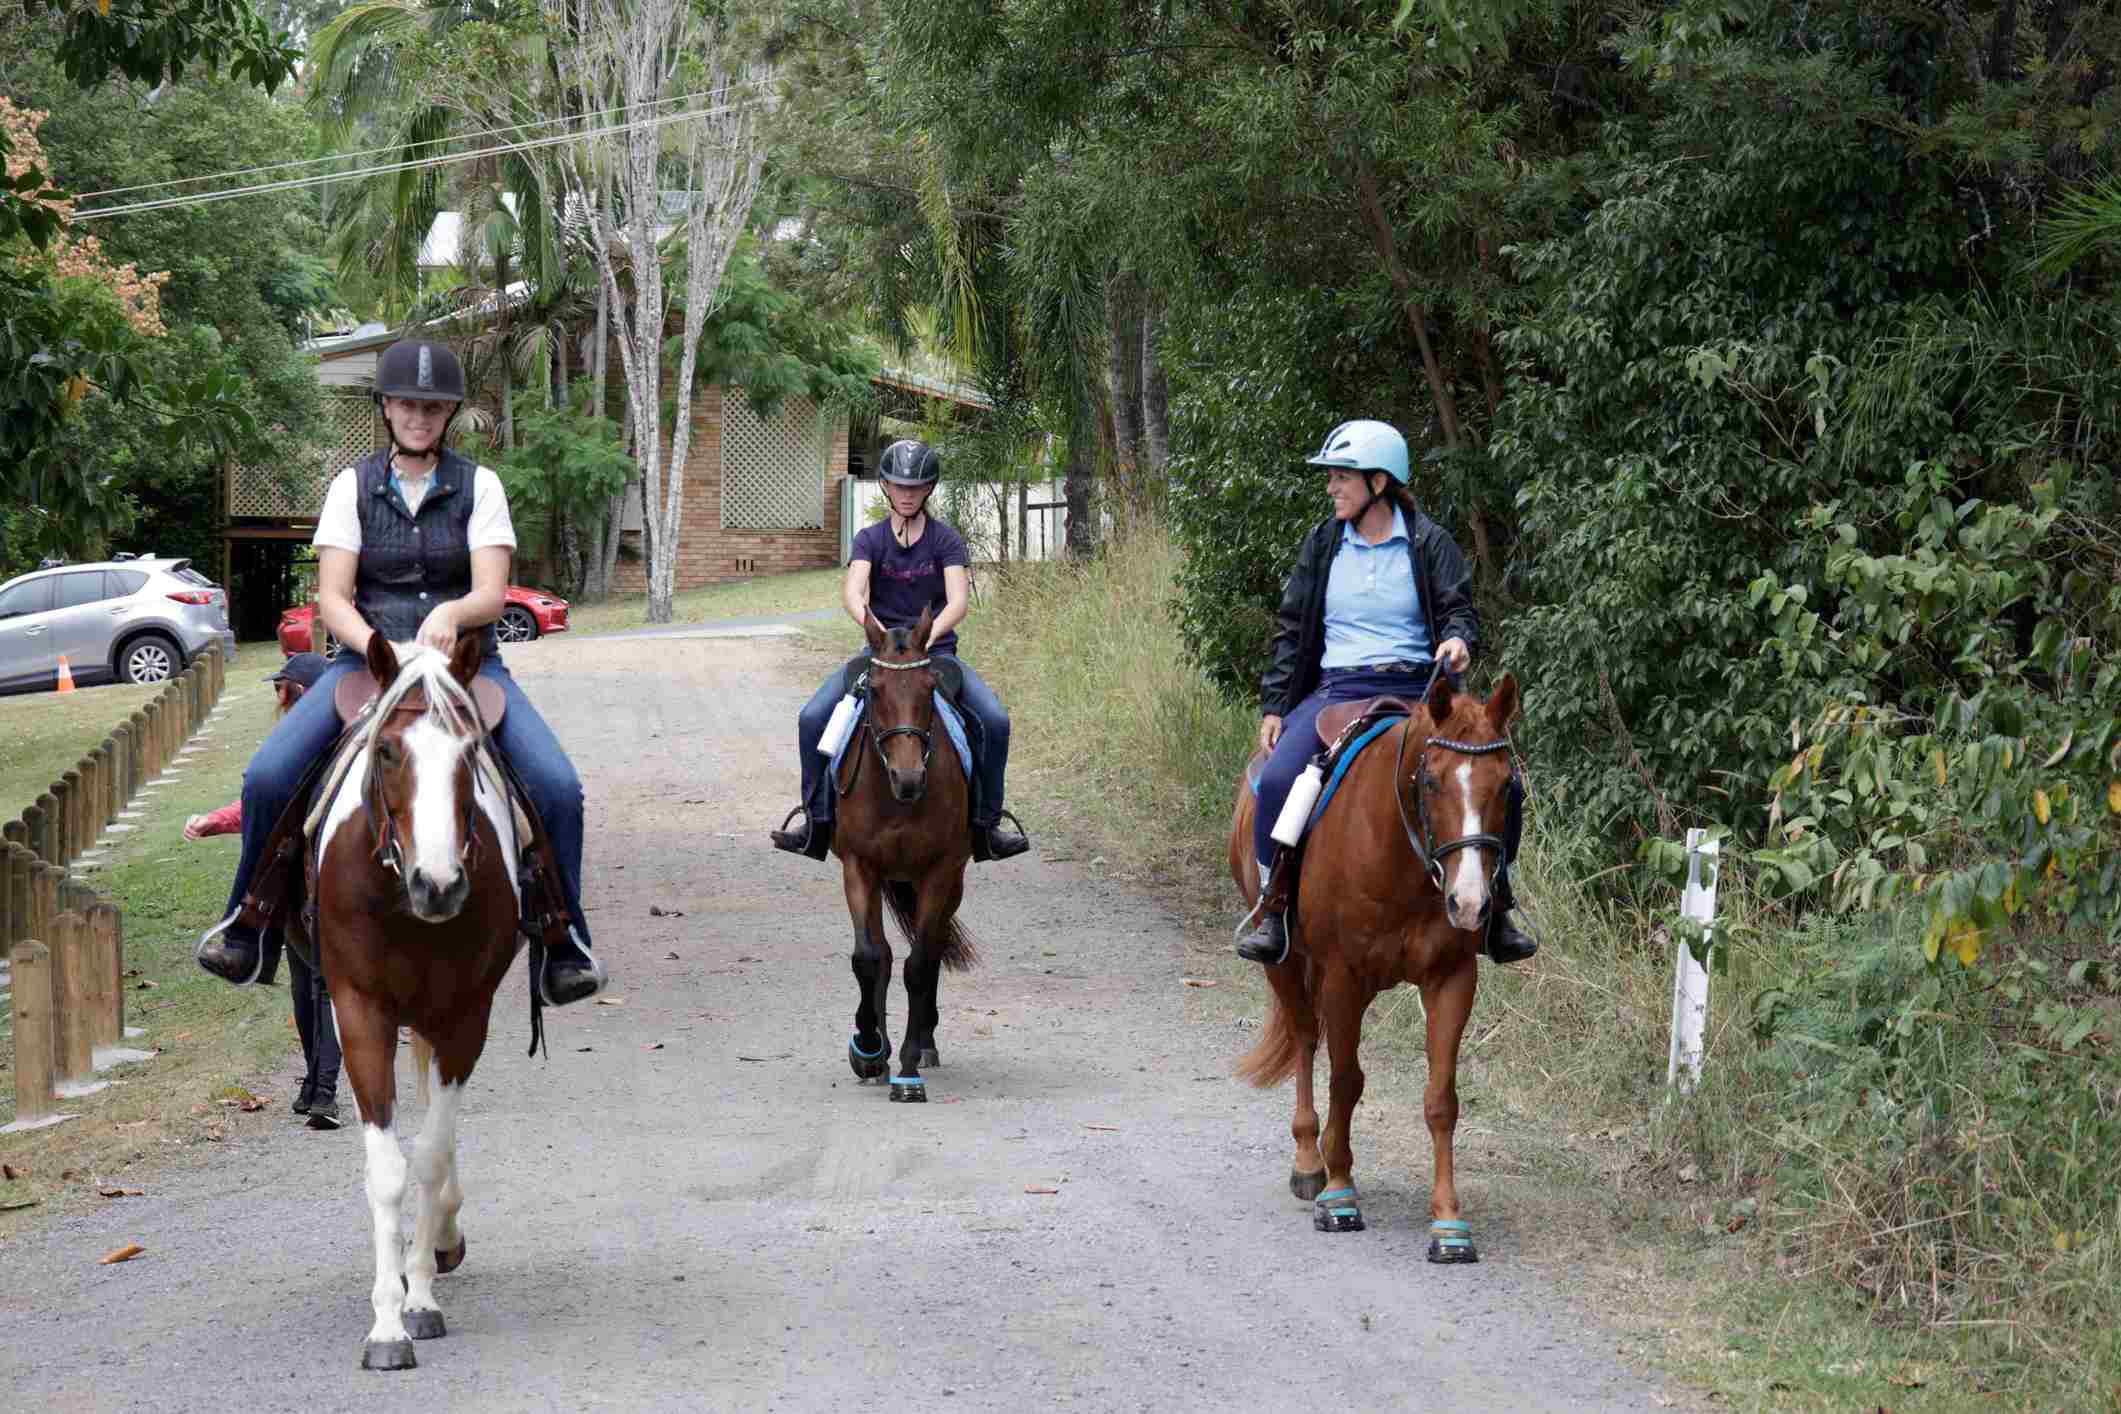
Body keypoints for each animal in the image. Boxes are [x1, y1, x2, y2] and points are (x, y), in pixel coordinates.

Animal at [286, 631, 521, 1373]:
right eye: (387, 751)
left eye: (470, 753)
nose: (438, 885)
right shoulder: (360, 1012)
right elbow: (388, 1170)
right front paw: (387, 1324)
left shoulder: (463, 1018)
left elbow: (432, 1155)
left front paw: (418, 1296)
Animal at [835, 610, 984, 1102]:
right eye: (875, 689)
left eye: (928, 688)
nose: (909, 778)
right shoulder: (859, 867)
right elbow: (868, 958)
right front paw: (867, 1051)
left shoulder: (939, 872)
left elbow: (919, 966)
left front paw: (907, 1069)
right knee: (882, 954)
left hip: (947, 883)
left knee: (931, 949)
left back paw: (925, 1044)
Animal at [1230, 674, 1527, 1263]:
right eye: (1431, 781)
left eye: (1507, 785)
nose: (1469, 903)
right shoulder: (1344, 976)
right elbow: (1345, 1081)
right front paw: (1339, 1195)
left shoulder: (1452, 979)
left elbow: (1441, 1100)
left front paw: (1449, 1224)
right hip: (1287, 965)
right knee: (1305, 1037)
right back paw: (1310, 1162)